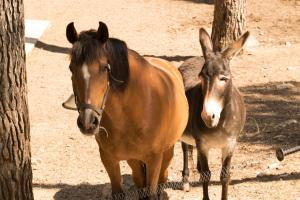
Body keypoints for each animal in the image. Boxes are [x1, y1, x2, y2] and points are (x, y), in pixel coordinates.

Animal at [65, 21, 188, 198]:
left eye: (104, 67)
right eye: (71, 68)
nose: (88, 122)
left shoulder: (154, 159)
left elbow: (152, 191)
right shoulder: (109, 159)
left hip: (167, 152)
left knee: (162, 179)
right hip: (133, 159)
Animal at [178, 28, 248, 200]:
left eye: (224, 78)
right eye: (201, 77)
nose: (208, 116)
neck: (220, 124)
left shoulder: (230, 144)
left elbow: (225, 176)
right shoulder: (203, 144)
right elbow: (206, 175)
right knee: (185, 148)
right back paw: (186, 180)